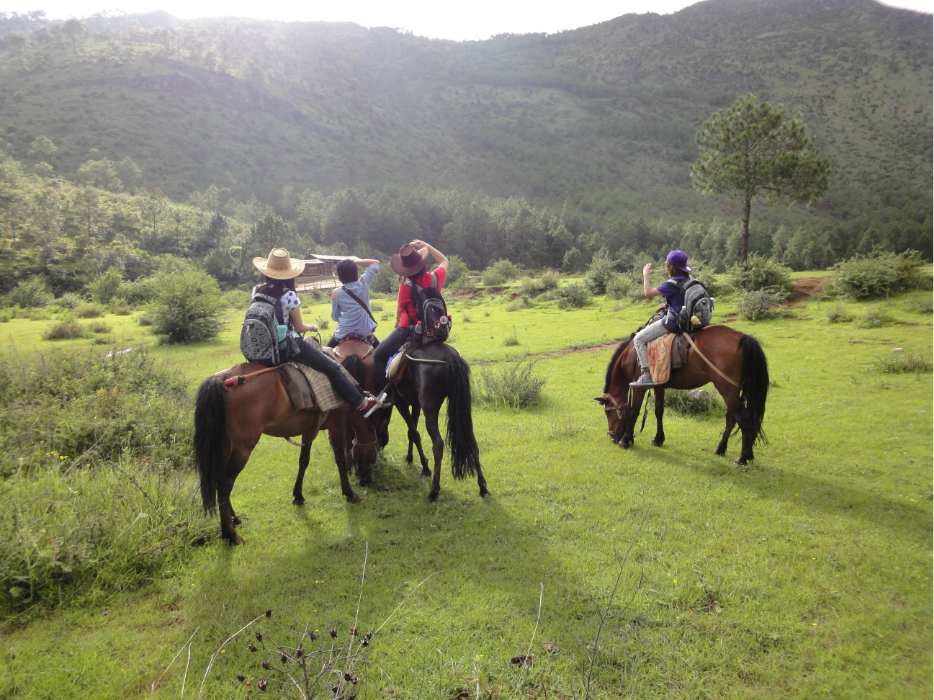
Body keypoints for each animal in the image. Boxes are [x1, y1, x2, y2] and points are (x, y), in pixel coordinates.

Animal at [192, 364, 378, 544]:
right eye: (374, 452)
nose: (366, 480)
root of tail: (222, 380)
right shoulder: (337, 419)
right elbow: (339, 458)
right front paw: (349, 493)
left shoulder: (310, 428)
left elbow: (304, 460)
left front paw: (298, 496)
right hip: (242, 448)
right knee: (225, 482)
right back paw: (230, 535)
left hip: (223, 443)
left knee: (218, 478)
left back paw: (234, 519)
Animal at [388, 342, 490, 500]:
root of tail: (450, 357)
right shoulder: (415, 404)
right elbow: (412, 432)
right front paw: (410, 458)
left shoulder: (401, 403)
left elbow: (414, 433)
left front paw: (424, 467)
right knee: (472, 442)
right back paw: (483, 487)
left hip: (430, 409)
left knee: (438, 444)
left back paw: (434, 491)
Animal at [600, 326, 768, 468]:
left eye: (608, 412)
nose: (613, 436)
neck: (632, 355)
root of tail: (743, 338)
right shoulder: (659, 385)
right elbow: (659, 411)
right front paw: (658, 439)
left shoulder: (639, 387)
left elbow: (634, 412)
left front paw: (625, 440)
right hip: (732, 391)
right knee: (732, 419)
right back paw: (721, 449)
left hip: (727, 390)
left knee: (743, 419)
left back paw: (743, 457)